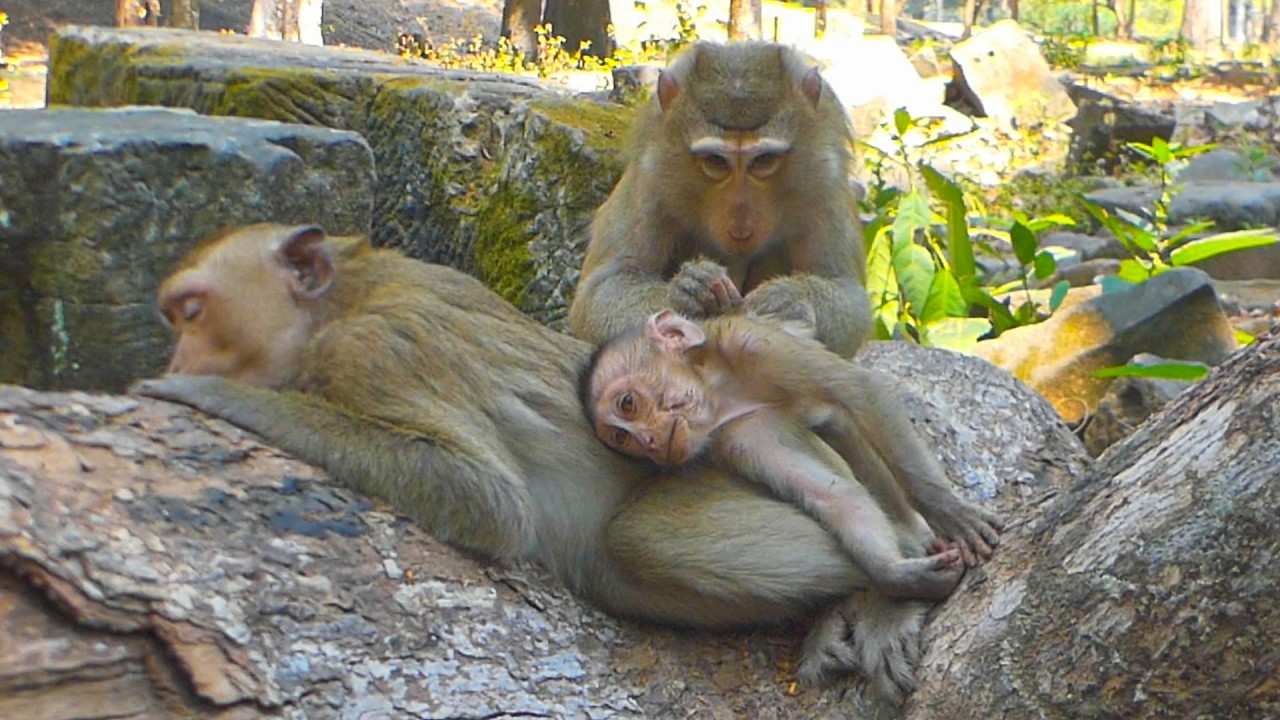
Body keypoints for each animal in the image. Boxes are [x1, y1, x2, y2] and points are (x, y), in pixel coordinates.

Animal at [568, 41, 871, 359]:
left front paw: (791, 299)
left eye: (763, 161)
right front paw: (689, 292)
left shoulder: (824, 180)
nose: (740, 226)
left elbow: (848, 294)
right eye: (715, 161)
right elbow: (603, 289)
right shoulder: (650, 176)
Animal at [582, 309, 1001, 598]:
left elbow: (864, 393)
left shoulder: (755, 345)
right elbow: (833, 495)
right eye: (622, 440)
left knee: (837, 418)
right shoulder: (738, 432)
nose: (649, 442)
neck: (723, 388)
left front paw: (949, 511)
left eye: (628, 404)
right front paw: (896, 574)